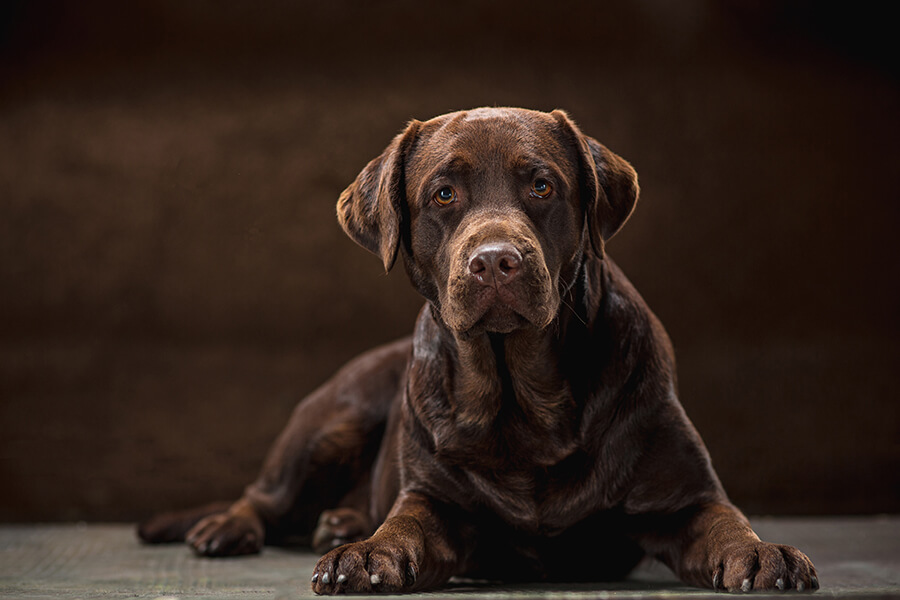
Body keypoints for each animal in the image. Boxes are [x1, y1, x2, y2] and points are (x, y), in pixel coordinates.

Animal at [139, 108, 816, 596]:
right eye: (443, 194)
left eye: (542, 185)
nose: (495, 260)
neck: (524, 401)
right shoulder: (435, 499)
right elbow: (404, 523)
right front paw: (367, 552)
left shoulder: (684, 497)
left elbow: (725, 520)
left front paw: (763, 553)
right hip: (331, 418)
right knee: (262, 496)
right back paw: (234, 528)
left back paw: (340, 519)